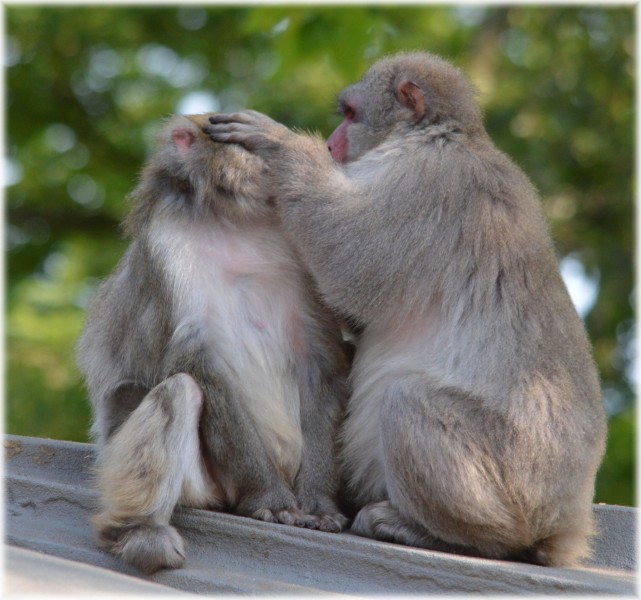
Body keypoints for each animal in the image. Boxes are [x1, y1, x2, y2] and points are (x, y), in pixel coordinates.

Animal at [78, 111, 352, 572]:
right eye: (245, 147)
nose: (271, 163)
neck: (233, 220)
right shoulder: (167, 246)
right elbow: (197, 355)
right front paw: (269, 498)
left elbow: (320, 355)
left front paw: (318, 503)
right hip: (205, 485)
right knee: (177, 393)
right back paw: (138, 531)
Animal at [208, 52, 608, 568]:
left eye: (350, 114)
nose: (332, 144)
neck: (443, 134)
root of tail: (568, 519)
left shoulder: (427, 180)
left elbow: (355, 262)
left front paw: (280, 145)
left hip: (517, 483)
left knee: (406, 401)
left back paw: (460, 536)